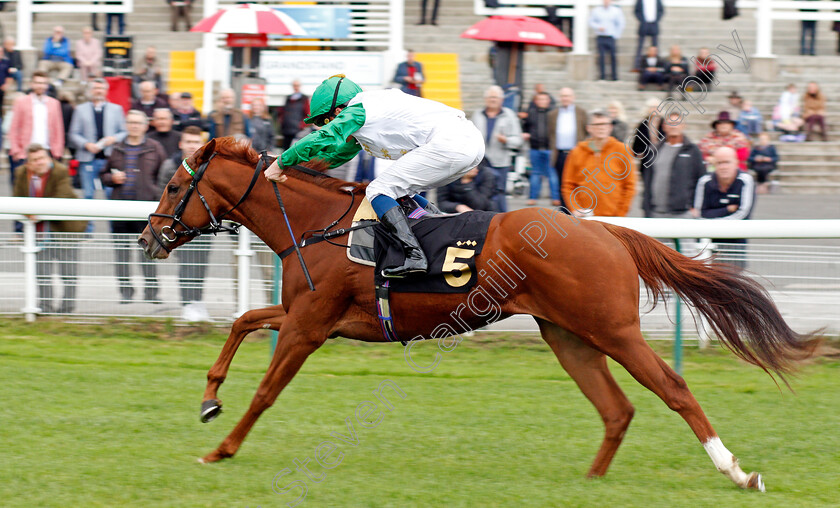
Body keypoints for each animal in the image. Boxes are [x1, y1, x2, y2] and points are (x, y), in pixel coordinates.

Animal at [139, 139, 820, 492]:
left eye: (174, 187)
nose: (147, 237)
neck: (316, 227)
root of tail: (604, 231)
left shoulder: (310, 327)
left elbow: (266, 391)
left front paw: (222, 449)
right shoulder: (310, 316)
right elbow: (241, 321)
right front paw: (209, 399)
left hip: (611, 328)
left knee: (671, 387)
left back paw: (735, 471)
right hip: (569, 334)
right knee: (616, 407)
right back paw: (589, 482)